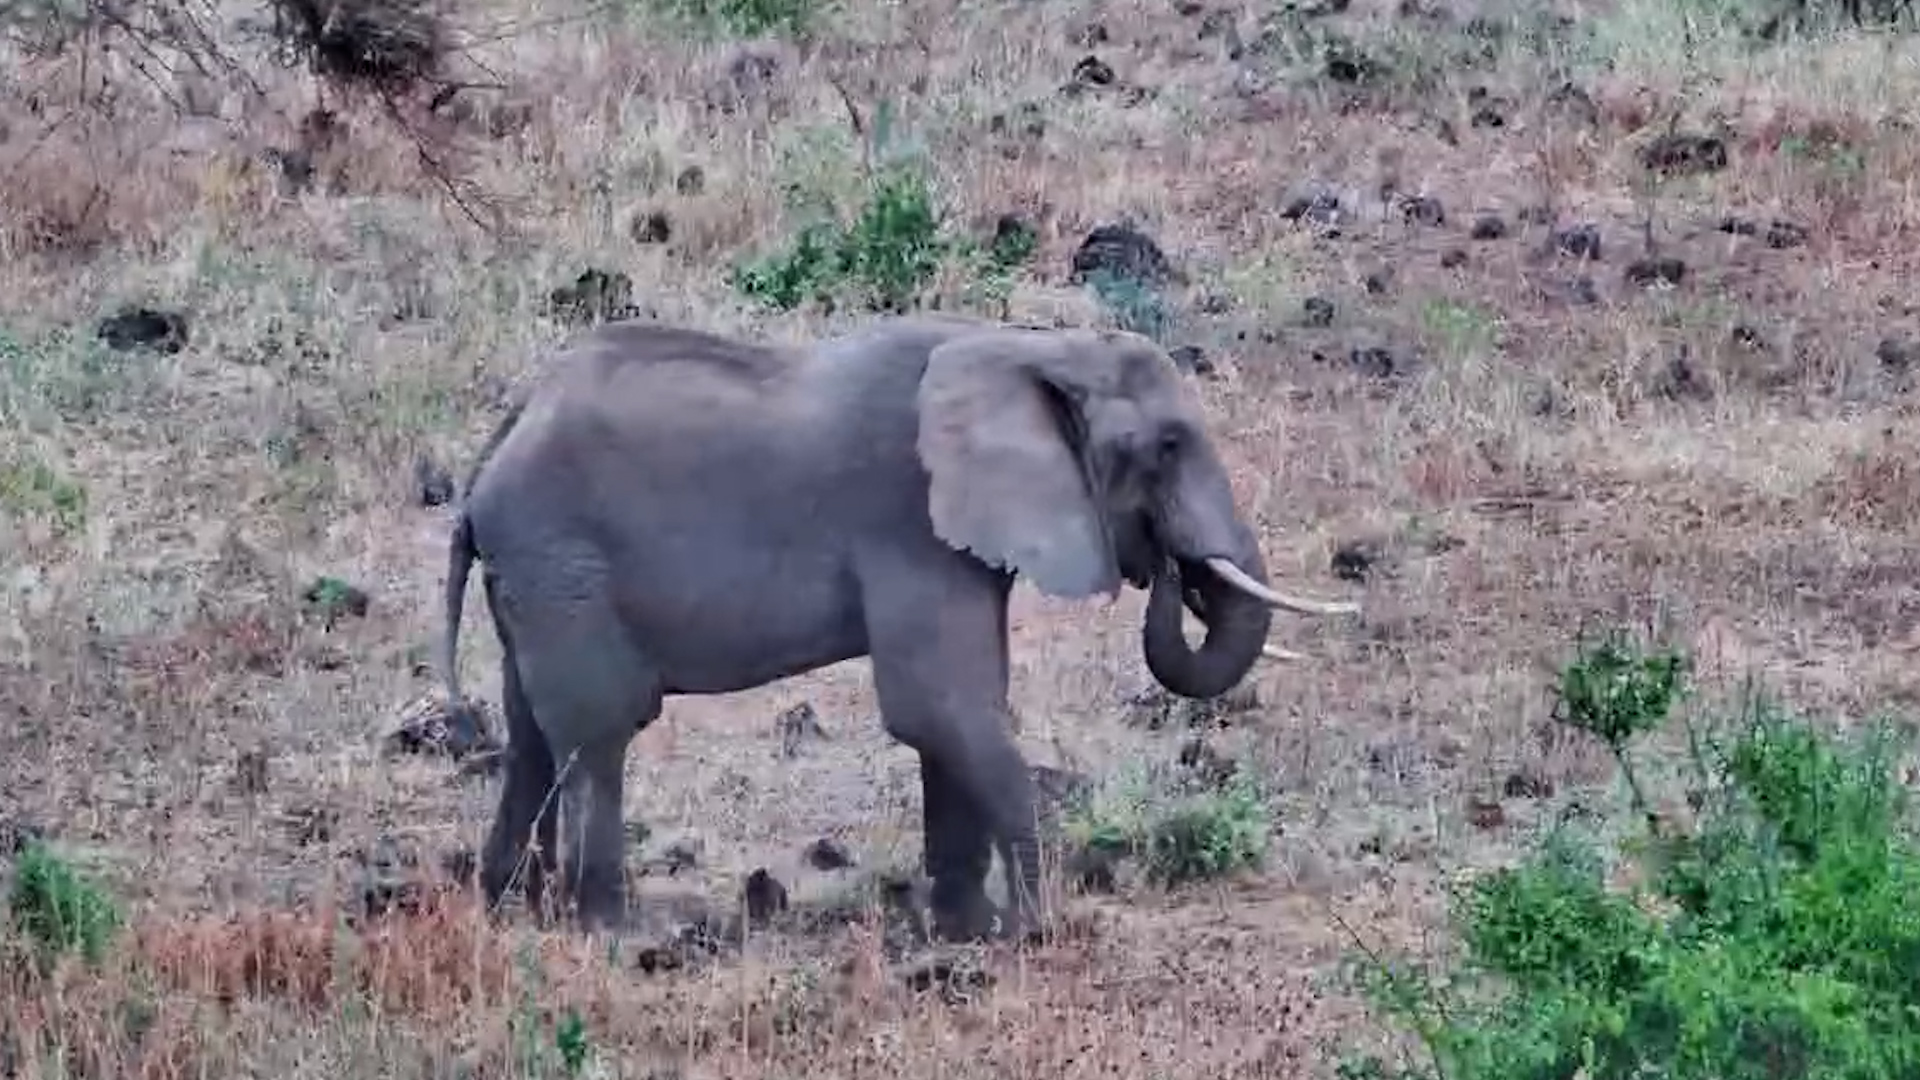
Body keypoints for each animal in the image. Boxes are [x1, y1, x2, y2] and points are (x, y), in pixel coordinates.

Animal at [435, 313, 1357, 940]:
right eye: (1166, 447)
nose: (1169, 566)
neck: (1033, 345)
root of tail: (494, 445)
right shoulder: (907, 519)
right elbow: (938, 707)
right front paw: (1035, 932)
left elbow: (956, 714)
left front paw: (964, 932)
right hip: (565, 562)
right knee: (600, 731)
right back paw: (617, 933)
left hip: (536, 577)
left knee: (531, 734)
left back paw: (509, 907)